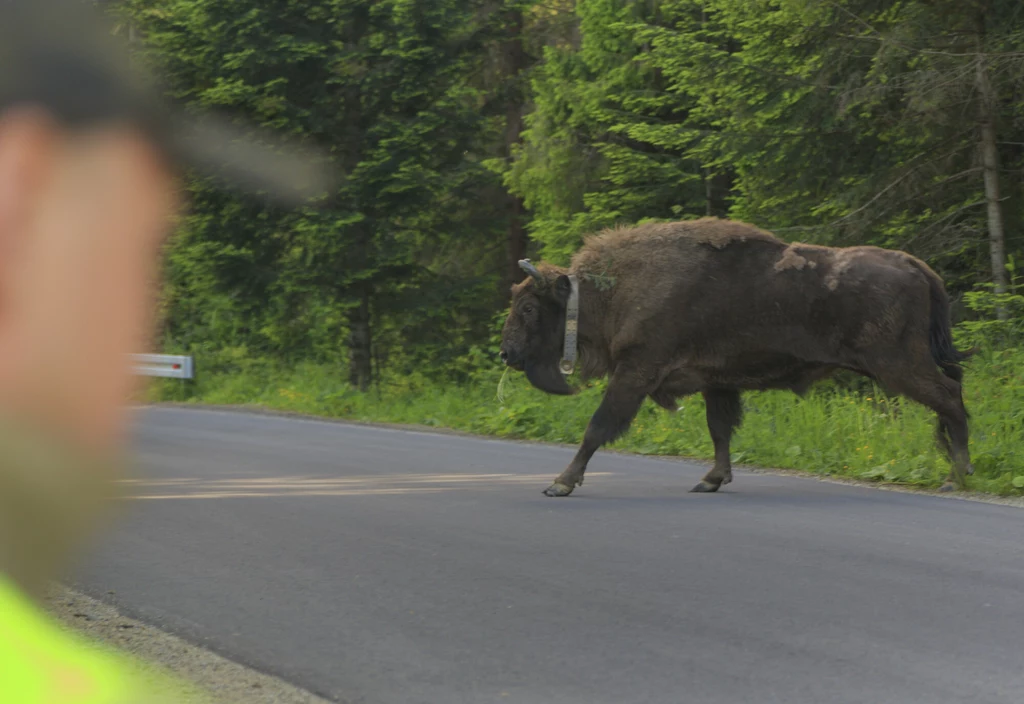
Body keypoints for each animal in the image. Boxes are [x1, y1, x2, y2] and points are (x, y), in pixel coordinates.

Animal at [499, 216, 970, 497]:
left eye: (529, 308)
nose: (506, 352)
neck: (611, 290)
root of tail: (915, 266)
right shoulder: (717, 383)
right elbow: (720, 431)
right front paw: (711, 480)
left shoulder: (636, 372)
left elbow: (597, 427)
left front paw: (560, 484)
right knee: (951, 400)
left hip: (900, 366)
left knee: (950, 400)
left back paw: (956, 477)